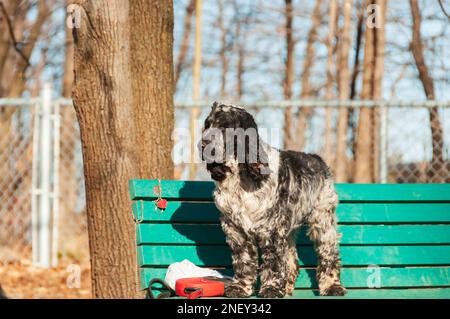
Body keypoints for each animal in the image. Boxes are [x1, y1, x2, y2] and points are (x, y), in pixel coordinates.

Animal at [199, 101, 346, 298]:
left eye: (225, 127)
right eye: (207, 125)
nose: (203, 144)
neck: (241, 177)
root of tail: (318, 159)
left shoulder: (271, 229)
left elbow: (273, 262)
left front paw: (271, 289)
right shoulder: (236, 229)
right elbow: (243, 260)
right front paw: (240, 288)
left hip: (322, 219)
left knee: (329, 253)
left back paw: (332, 286)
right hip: (290, 228)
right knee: (291, 260)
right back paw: (288, 288)